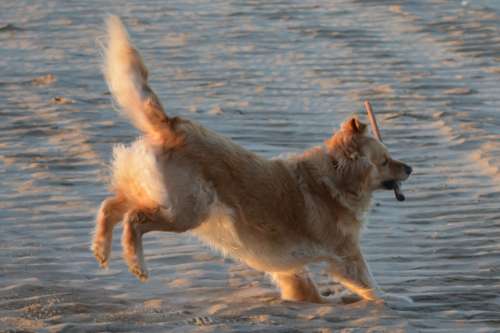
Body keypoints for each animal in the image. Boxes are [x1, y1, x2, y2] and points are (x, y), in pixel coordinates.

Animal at [92, 16, 412, 304]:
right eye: (385, 161)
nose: (410, 168)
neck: (336, 177)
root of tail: (172, 125)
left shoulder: (288, 264)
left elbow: (302, 288)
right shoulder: (347, 254)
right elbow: (370, 285)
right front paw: (393, 301)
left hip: (153, 193)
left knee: (110, 205)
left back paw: (102, 248)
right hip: (188, 211)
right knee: (134, 218)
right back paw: (137, 263)